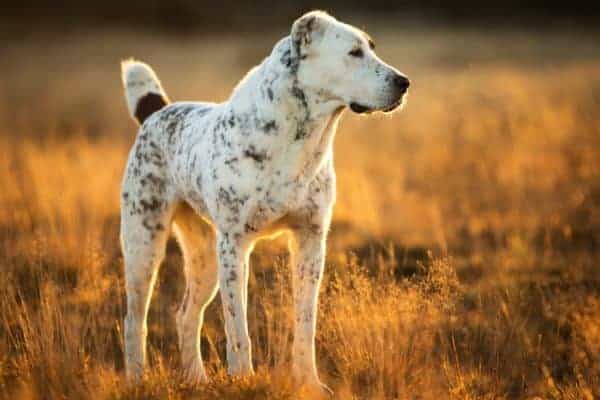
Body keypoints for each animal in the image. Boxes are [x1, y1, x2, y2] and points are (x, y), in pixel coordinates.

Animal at [118, 10, 408, 394]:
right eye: (354, 52)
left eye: (371, 48)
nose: (404, 82)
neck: (298, 140)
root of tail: (155, 112)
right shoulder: (235, 246)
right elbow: (238, 328)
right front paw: (243, 380)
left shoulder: (311, 242)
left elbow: (305, 324)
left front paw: (309, 382)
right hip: (144, 247)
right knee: (134, 320)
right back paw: (137, 379)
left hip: (204, 258)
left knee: (186, 315)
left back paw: (196, 379)